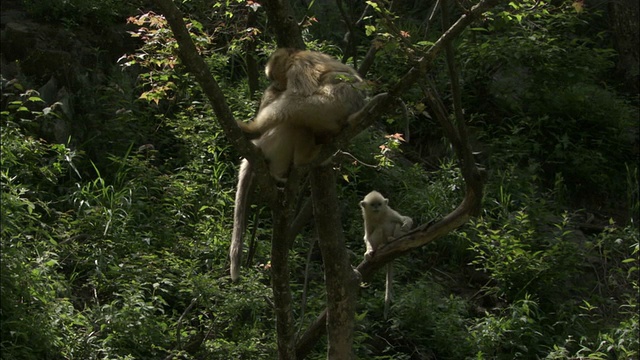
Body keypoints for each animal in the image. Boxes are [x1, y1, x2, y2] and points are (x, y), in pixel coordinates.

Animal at [232, 48, 368, 282]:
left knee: (297, 114)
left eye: (275, 76)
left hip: (332, 104)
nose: (276, 84)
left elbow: (298, 96)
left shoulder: (299, 67)